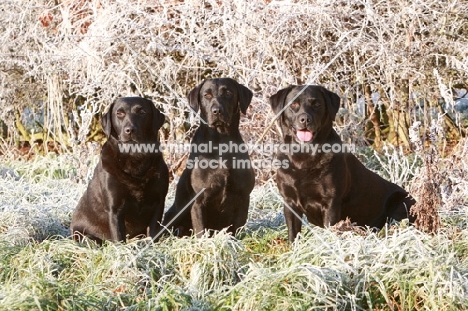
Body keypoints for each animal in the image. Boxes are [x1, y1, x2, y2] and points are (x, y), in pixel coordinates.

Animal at [70, 97, 169, 244]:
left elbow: (152, 234)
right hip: (85, 236)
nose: (130, 130)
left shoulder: (158, 203)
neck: (135, 159)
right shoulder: (115, 210)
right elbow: (119, 237)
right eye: (119, 113)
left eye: (142, 112)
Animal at [268, 86, 414, 244]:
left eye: (317, 104)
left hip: (402, 203)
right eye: (293, 104)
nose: (305, 119)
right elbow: (293, 234)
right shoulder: (289, 202)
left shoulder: (331, 202)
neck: (304, 157)